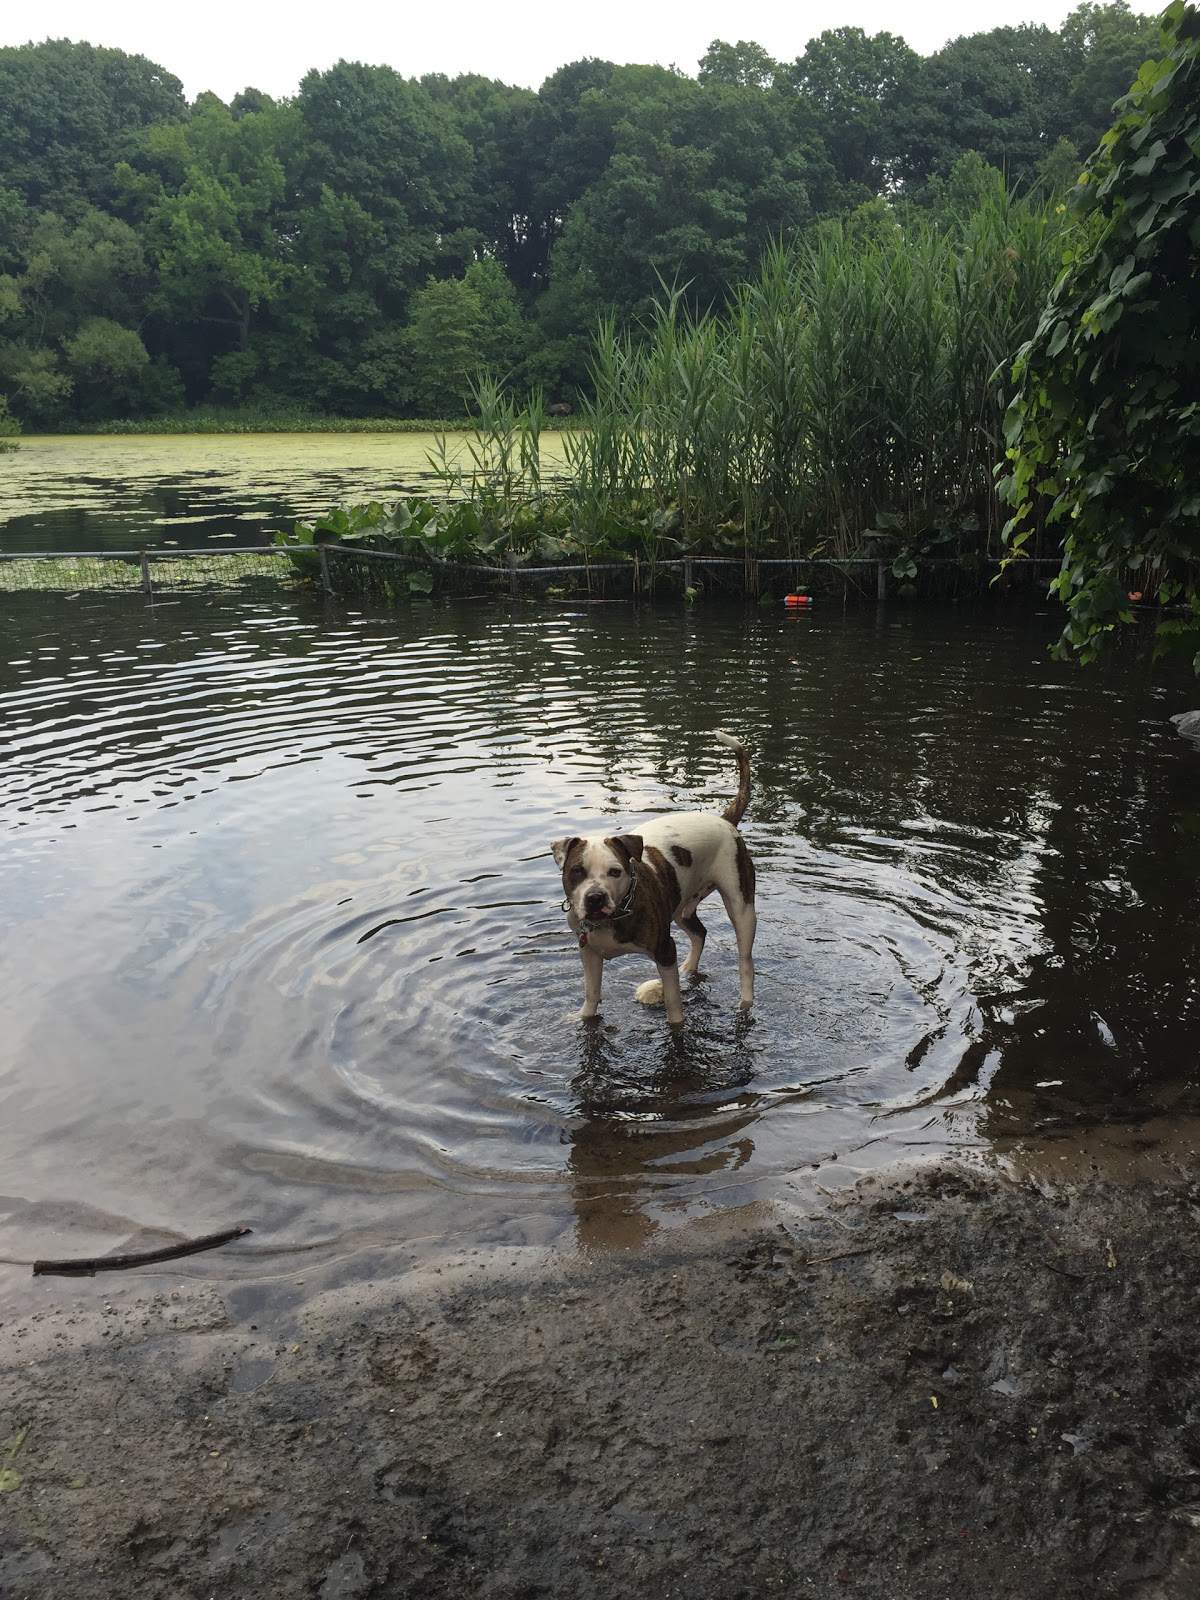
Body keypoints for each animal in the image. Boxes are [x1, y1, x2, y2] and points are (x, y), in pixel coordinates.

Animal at [553, 732, 755, 1024]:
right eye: (577, 871)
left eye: (615, 871)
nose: (595, 898)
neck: (614, 916)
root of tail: (725, 822)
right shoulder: (589, 954)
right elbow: (592, 993)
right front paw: (583, 1017)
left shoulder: (665, 951)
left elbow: (673, 1004)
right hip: (682, 908)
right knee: (699, 933)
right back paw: (688, 968)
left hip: (741, 907)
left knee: (746, 962)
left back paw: (745, 1002)